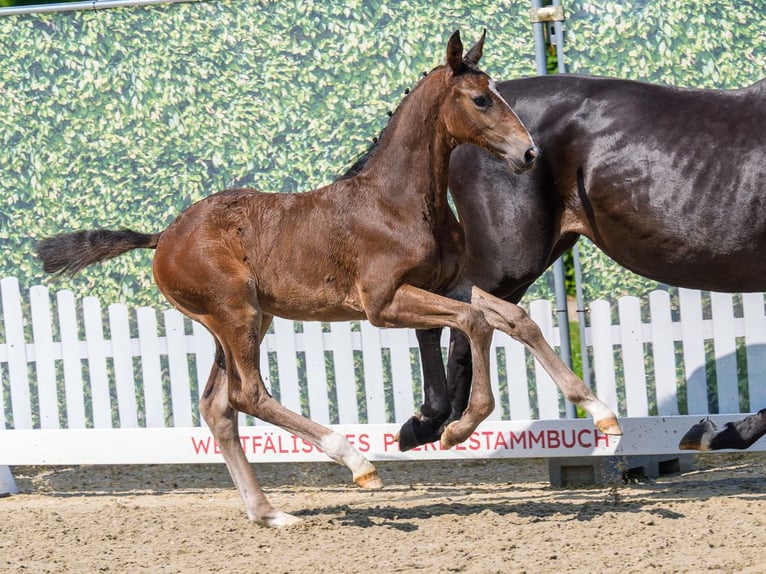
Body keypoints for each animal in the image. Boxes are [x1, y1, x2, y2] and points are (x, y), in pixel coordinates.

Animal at [36, 32, 621, 527]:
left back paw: (269, 513)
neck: (399, 201)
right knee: (249, 394)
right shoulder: (382, 304)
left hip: (242, 320)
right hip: (236, 313)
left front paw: (602, 413)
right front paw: (457, 427)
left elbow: (514, 318)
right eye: (481, 100)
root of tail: (163, 237)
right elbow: (476, 321)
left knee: (218, 407)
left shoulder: (444, 284)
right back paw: (356, 462)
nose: (529, 153)